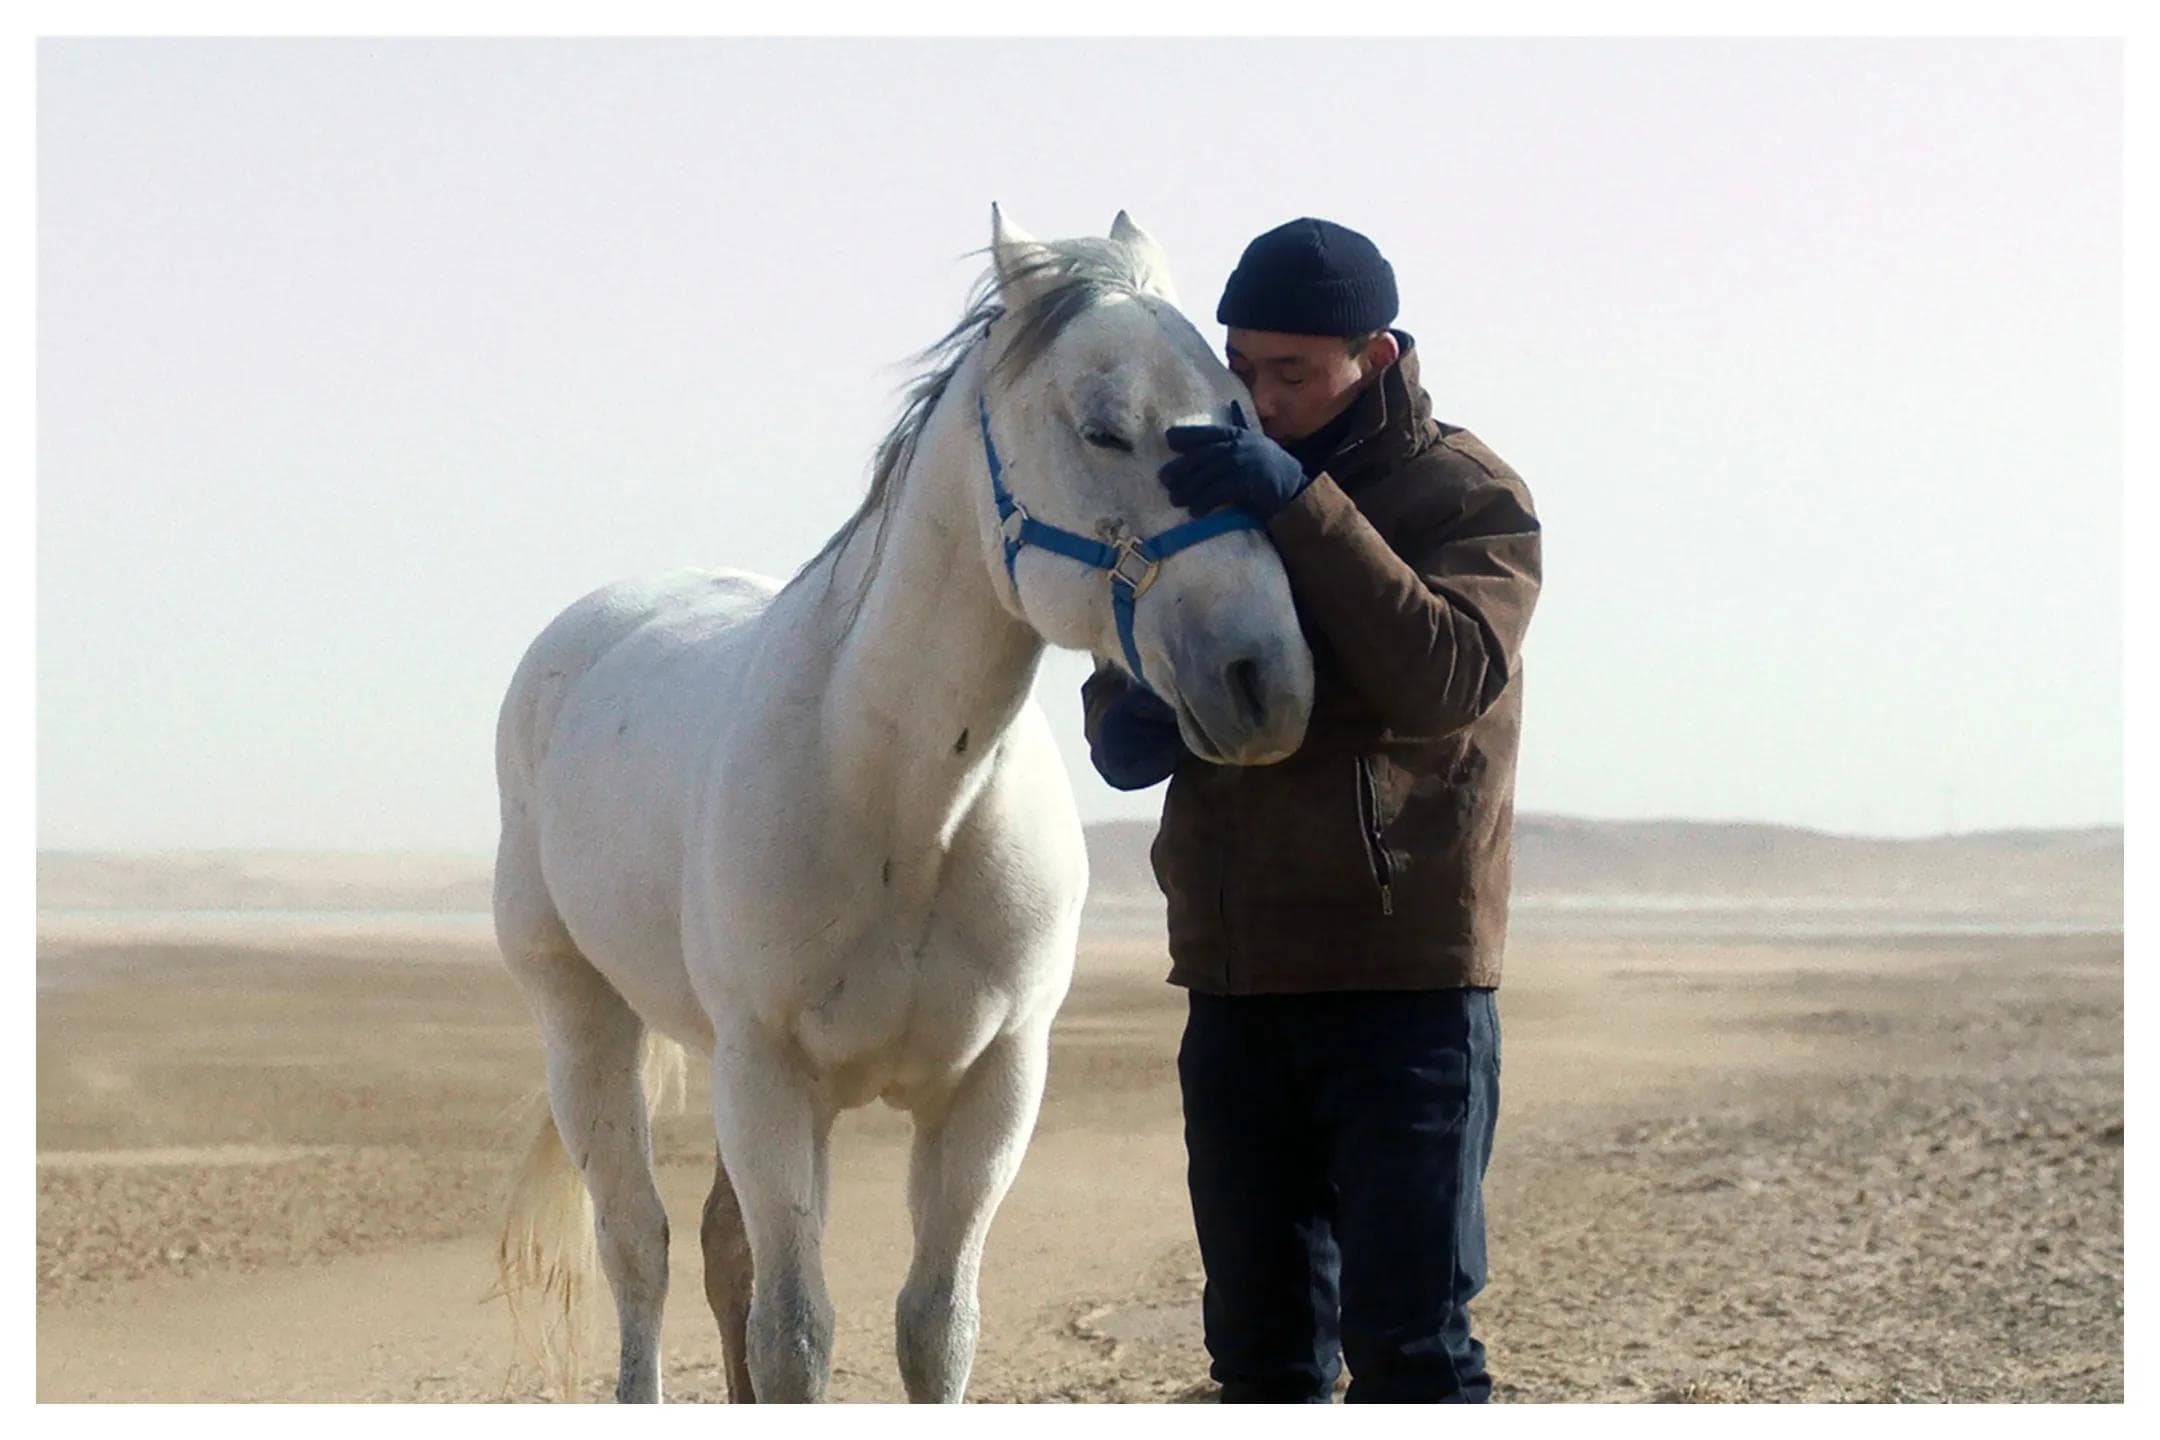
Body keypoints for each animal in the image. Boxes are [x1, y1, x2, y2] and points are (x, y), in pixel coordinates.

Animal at [489, 206, 1316, 1403]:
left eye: (1245, 414)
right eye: (1106, 429)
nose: (1266, 678)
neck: (902, 803)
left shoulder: (991, 1090)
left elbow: (935, 1325)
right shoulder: (771, 1082)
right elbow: (795, 1335)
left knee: (717, 1244)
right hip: (585, 1018)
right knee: (637, 1246)